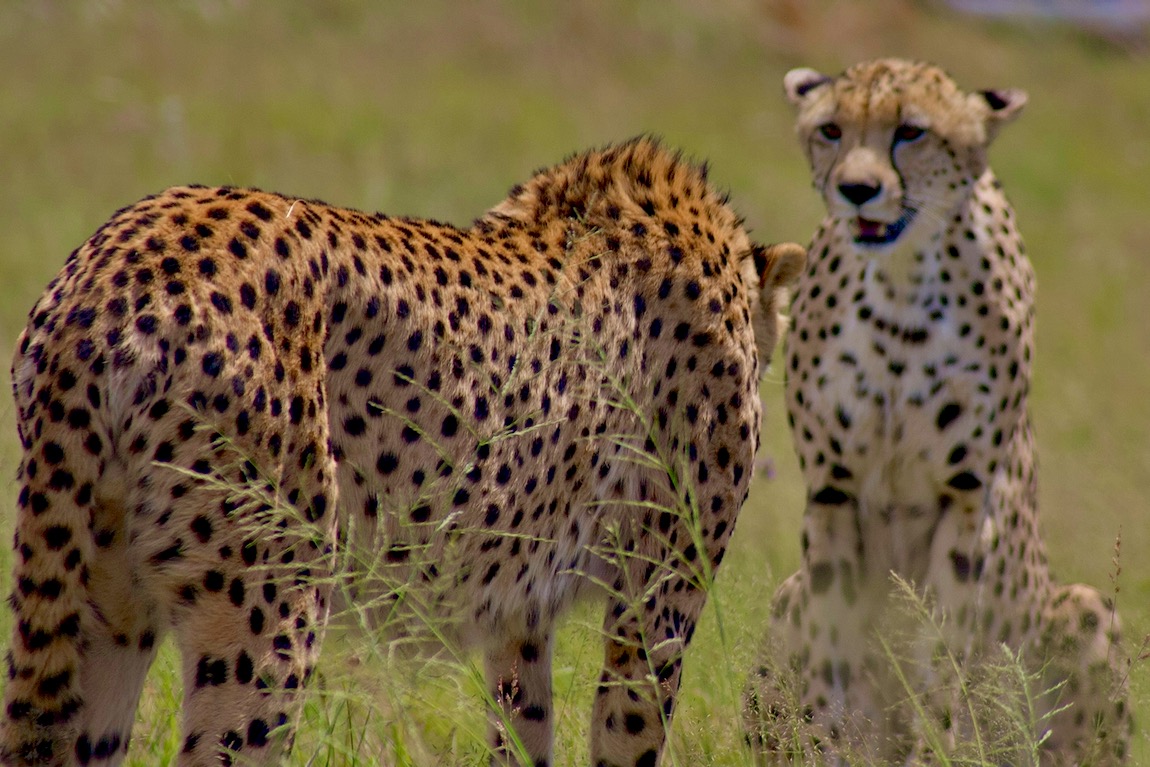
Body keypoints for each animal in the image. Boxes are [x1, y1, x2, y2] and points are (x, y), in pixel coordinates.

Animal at [0, 136, 806, 767]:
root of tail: (111, 270)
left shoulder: (519, 612)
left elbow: (523, 728)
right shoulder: (658, 594)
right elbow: (627, 733)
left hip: (105, 601)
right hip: (271, 604)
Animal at [742, 59, 1130, 765]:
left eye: (911, 132)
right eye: (831, 130)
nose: (858, 190)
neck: (899, 285)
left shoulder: (966, 494)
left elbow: (941, 653)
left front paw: (934, 745)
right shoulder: (832, 489)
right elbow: (834, 647)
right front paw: (830, 742)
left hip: (1086, 611)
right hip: (788, 594)